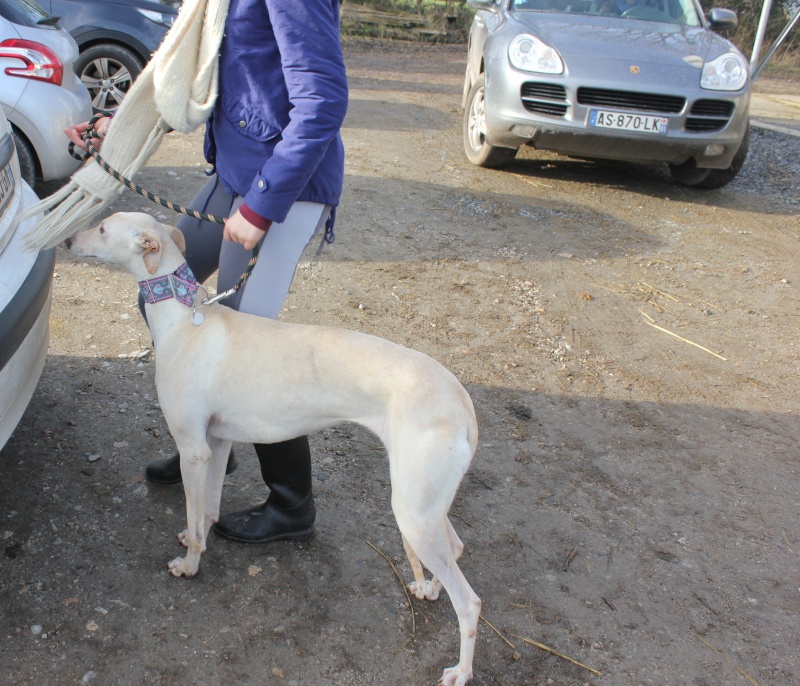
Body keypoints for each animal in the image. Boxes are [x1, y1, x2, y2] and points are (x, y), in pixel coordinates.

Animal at [64, 212, 482, 684]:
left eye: (102, 228)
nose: (67, 241)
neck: (185, 318)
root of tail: (460, 400)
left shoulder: (192, 448)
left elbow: (193, 518)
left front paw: (189, 565)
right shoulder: (216, 442)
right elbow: (206, 509)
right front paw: (198, 535)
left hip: (411, 510)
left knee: (469, 602)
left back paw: (460, 670)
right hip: (426, 508)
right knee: (455, 550)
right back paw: (428, 587)